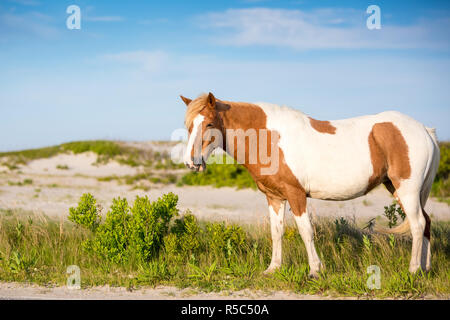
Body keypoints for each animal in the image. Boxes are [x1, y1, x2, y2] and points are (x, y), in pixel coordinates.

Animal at [180, 93, 440, 278]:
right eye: (189, 126)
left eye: (210, 124)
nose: (191, 162)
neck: (270, 139)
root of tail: (424, 130)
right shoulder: (274, 198)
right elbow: (276, 232)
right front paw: (273, 269)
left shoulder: (296, 195)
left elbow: (306, 231)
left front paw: (315, 269)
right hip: (400, 190)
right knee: (426, 222)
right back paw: (426, 268)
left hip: (407, 190)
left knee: (418, 224)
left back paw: (413, 270)